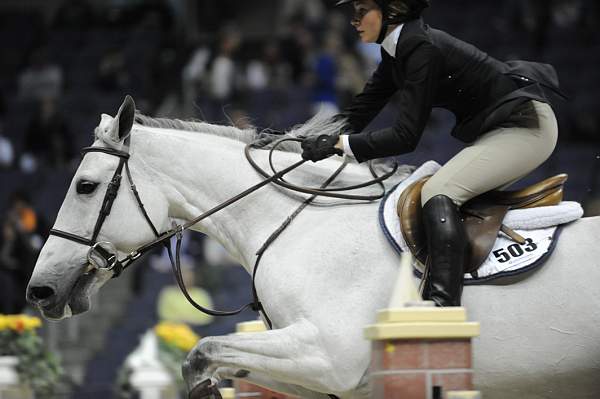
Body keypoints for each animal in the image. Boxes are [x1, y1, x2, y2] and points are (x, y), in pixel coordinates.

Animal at [25, 97, 600, 399]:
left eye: (85, 187)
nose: (40, 291)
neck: (293, 225)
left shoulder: (331, 356)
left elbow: (201, 353)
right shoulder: (314, 374)